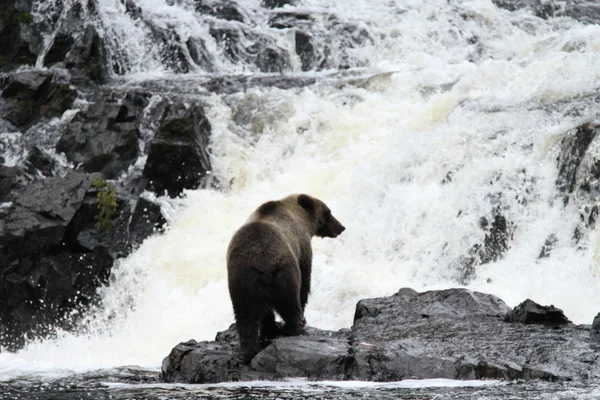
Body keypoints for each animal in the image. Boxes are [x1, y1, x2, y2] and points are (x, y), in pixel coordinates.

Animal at [227, 193, 344, 362]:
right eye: (328, 212)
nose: (341, 227)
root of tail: (262, 261)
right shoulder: (302, 248)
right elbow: (305, 282)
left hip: (242, 281)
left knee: (246, 317)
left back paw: (251, 351)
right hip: (284, 275)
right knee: (291, 304)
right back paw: (297, 331)